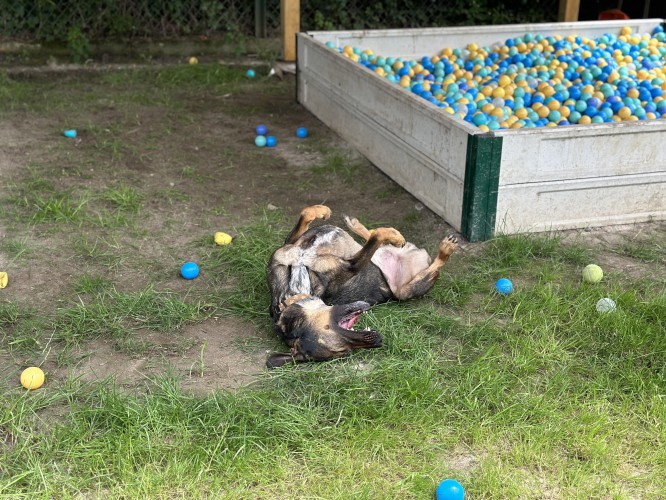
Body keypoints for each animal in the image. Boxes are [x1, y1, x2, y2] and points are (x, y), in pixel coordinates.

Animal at [266, 205, 458, 368]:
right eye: (342, 351)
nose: (377, 341)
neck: (294, 290)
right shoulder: (352, 266)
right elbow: (377, 237)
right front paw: (392, 234)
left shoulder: (289, 244)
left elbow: (305, 214)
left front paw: (321, 210)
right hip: (403, 292)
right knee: (433, 270)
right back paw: (445, 249)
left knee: (372, 241)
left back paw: (357, 225)